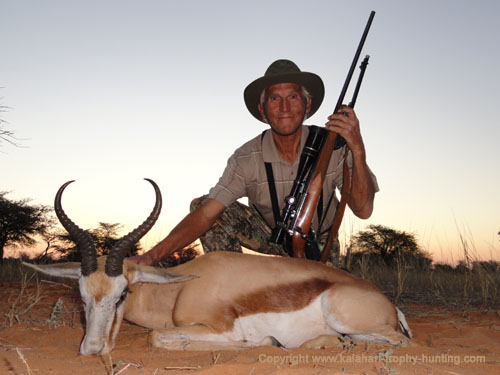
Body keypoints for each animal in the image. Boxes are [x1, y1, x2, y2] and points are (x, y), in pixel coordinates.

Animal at [24, 179, 410, 356]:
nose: (92, 349)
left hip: (346, 316)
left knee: (397, 343)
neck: (179, 288)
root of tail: (390, 307)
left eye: (123, 294)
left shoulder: (219, 330)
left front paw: (268, 340)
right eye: (81, 296)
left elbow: (157, 336)